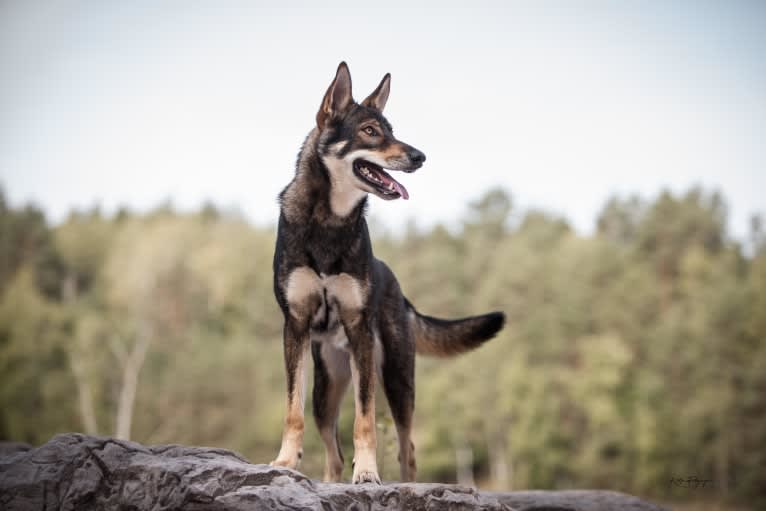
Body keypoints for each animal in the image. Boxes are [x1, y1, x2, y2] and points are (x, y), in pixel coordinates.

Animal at [272, 61, 508, 484]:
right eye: (370, 131)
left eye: (392, 129)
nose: (420, 156)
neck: (328, 223)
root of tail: (397, 287)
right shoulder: (294, 327)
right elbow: (291, 412)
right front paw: (284, 463)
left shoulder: (360, 334)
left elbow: (364, 421)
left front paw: (366, 472)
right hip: (326, 391)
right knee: (333, 453)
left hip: (396, 379)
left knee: (407, 449)